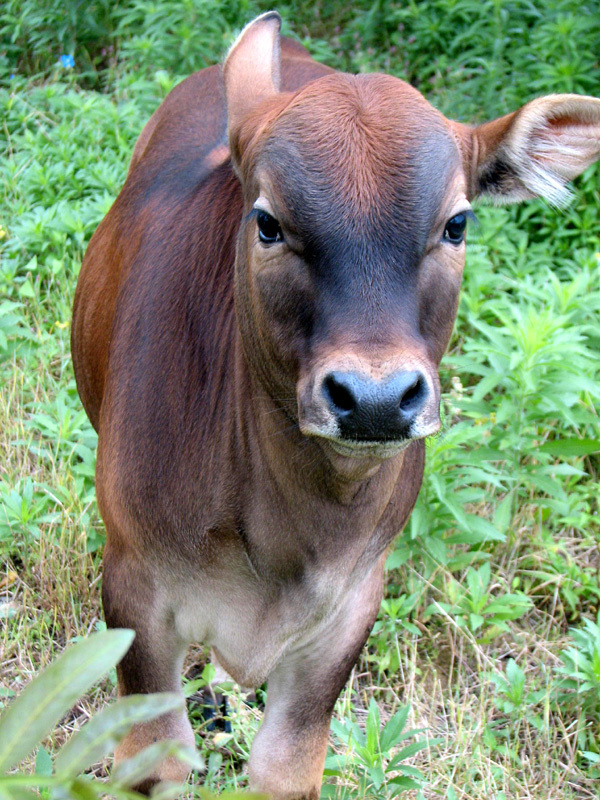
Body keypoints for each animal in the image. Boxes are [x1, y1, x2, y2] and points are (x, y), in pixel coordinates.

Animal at [74, 12, 600, 800]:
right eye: (267, 222)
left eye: (457, 224)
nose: (376, 399)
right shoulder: (134, 592)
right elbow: (156, 758)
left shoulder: (349, 611)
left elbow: (287, 763)